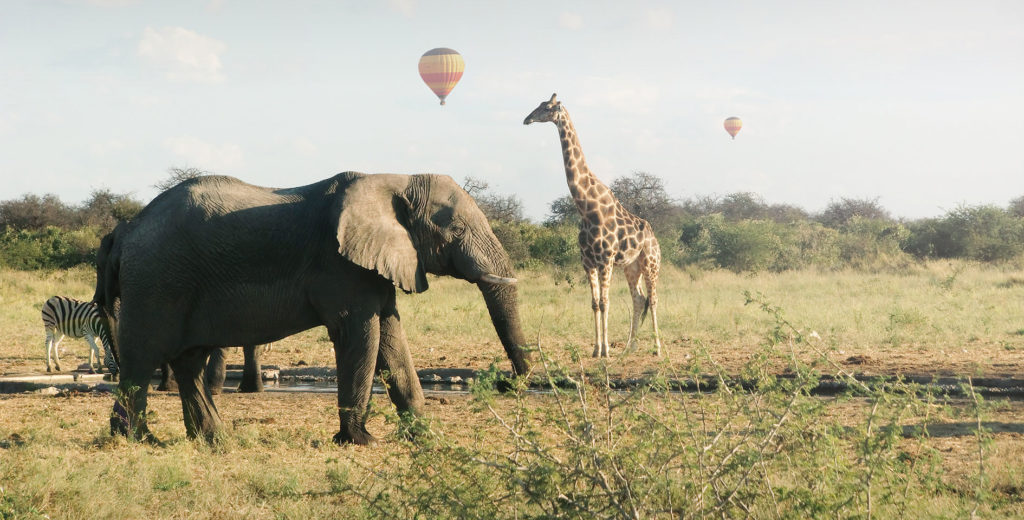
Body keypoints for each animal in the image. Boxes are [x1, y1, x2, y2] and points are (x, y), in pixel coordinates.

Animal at [94, 172, 536, 444]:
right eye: (455, 229)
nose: (507, 384)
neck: (394, 179)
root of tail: (125, 230)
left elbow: (391, 335)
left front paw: (424, 436)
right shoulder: (340, 267)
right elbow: (361, 335)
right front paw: (361, 441)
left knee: (188, 363)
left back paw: (215, 440)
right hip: (157, 282)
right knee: (142, 359)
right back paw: (137, 439)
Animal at [528, 92, 663, 358]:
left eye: (547, 107)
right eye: (538, 105)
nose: (527, 119)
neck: (587, 207)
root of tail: (655, 239)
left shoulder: (606, 260)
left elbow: (605, 302)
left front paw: (606, 350)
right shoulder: (587, 262)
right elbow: (594, 304)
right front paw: (596, 349)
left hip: (651, 263)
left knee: (652, 299)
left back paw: (657, 347)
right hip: (631, 267)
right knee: (638, 299)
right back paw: (630, 347)